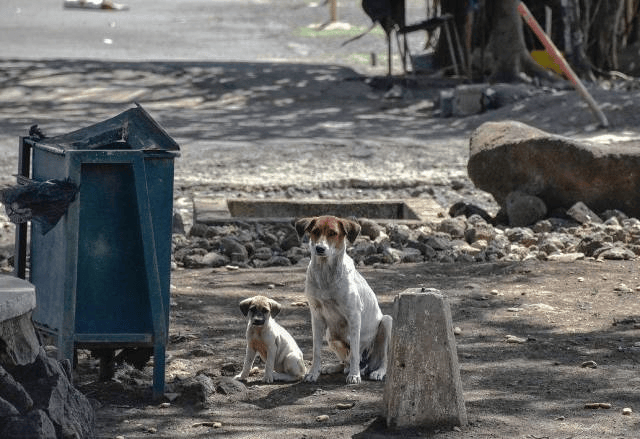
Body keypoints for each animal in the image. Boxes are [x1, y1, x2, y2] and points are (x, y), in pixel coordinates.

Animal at [294, 217, 390, 384]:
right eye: (315, 231)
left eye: (333, 233)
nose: (319, 248)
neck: (325, 273)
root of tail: (368, 365)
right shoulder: (316, 316)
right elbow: (316, 350)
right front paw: (313, 373)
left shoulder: (354, 316)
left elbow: (355, 352)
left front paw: (354, 375)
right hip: (331, 336)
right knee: (345, 361)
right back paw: (336, 367)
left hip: (386, 322)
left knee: (381, 359)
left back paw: (376, 372)